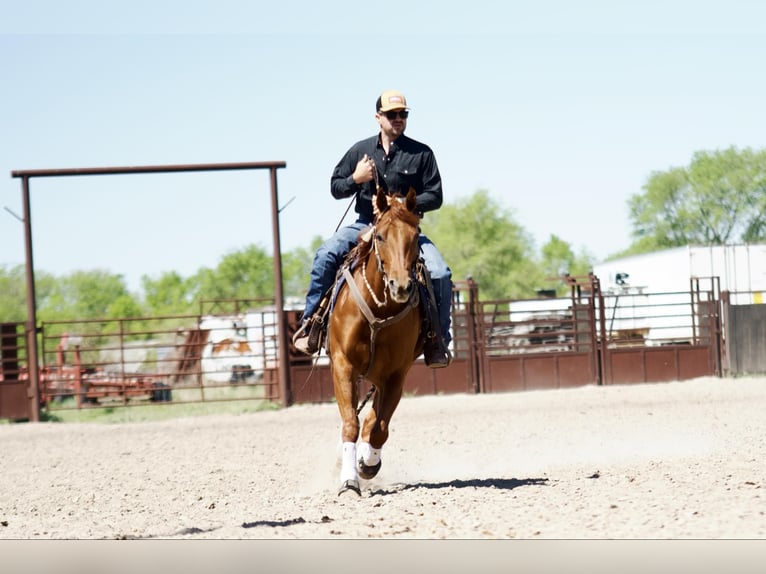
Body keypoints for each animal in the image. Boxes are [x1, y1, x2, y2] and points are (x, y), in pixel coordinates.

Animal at [330, 187, 426, 498]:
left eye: (415, 235)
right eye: (381, 236)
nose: (401, 286)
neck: (379, 307)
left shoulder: (396, 375)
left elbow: (380, 428)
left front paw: (367, 464)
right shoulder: (343, 366)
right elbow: (350, 424)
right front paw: (349, 481)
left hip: (380, 378)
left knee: (373, 421)